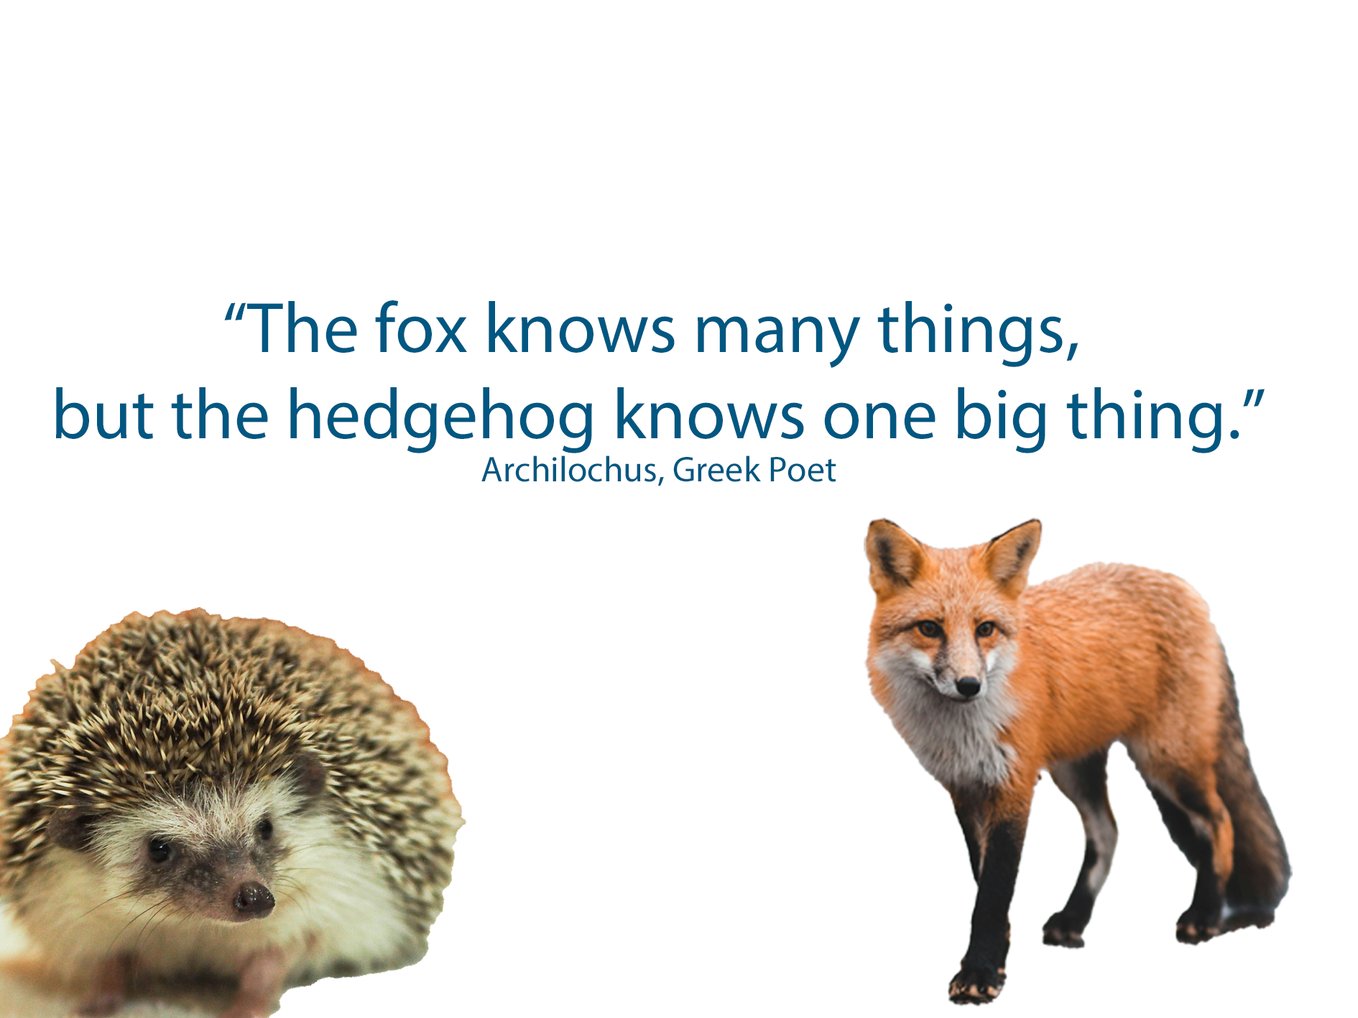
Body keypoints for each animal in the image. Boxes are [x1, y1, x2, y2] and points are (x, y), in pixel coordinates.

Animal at [864, 519, 1288, 1005]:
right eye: (930, 628)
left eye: (985, 628)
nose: (969, 685)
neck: (962, 730)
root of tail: (1186, 590)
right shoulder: (966, 788)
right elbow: (984, 882)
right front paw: (998, 956)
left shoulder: (1014, 785)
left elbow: (993, 892)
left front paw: (981, 972)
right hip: (1076, 770)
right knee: (1108, 831)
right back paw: (1074, 919)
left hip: (1167, 762)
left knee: (1219, 822)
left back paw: (1206, 914)